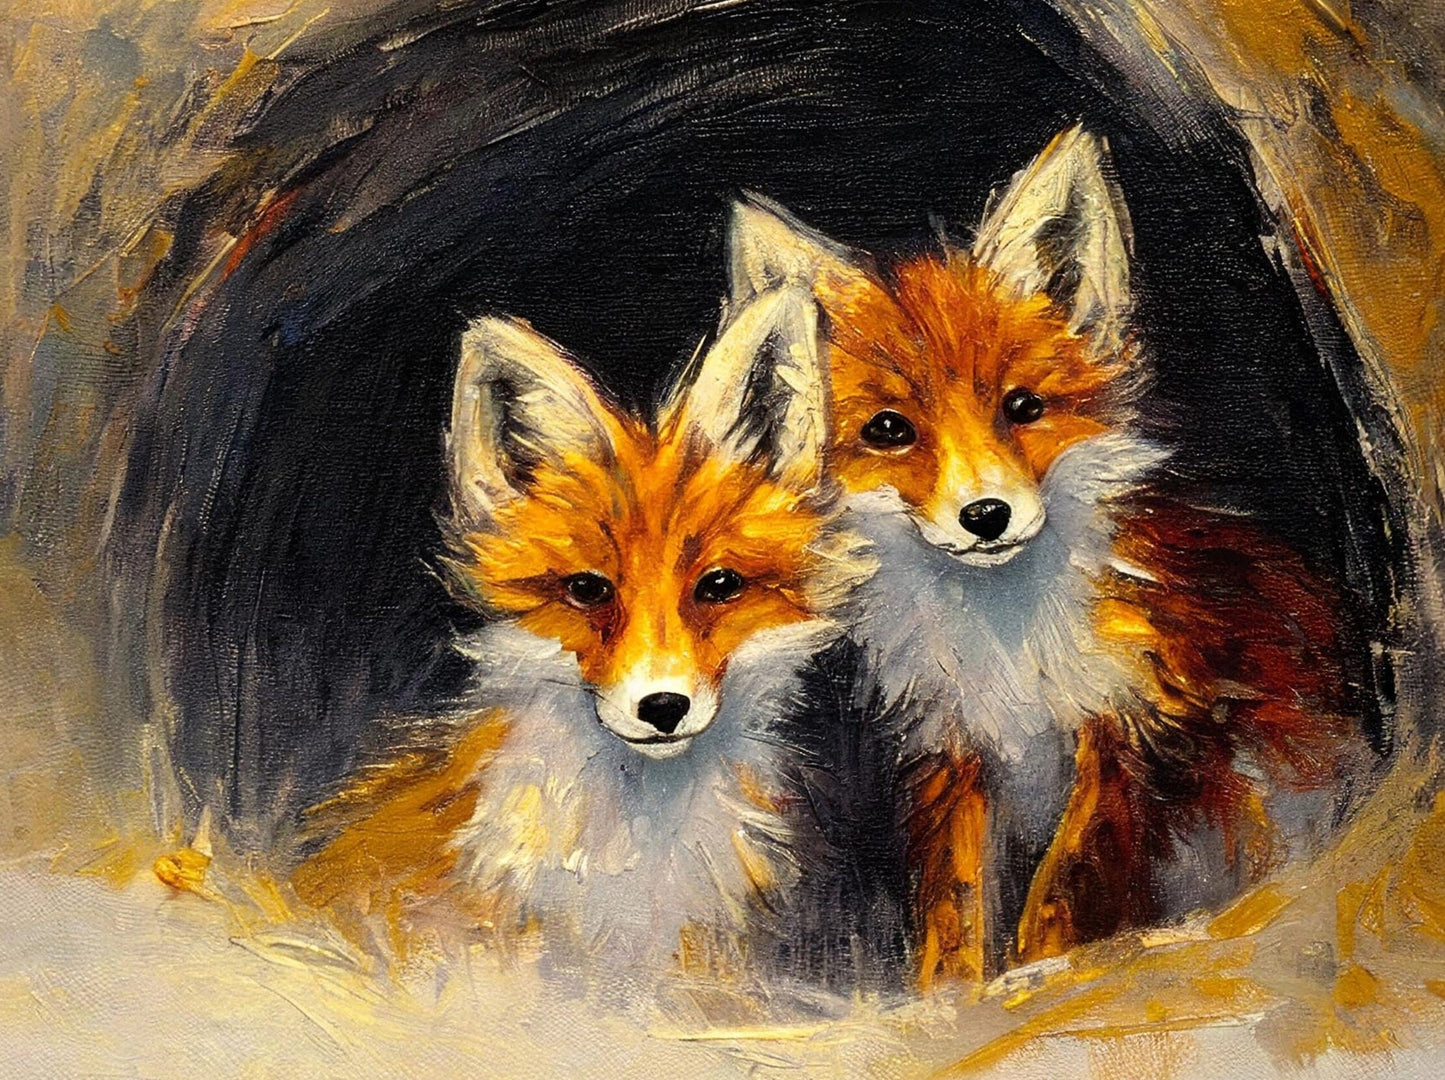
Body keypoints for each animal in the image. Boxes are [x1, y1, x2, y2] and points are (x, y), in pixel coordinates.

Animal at [722, 126, 1373, 988]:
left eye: (1022, 407)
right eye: (889, 430)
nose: (985, 516)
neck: (1010, 645)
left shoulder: (1132, 729)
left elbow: (1065, 886)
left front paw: (1042, 974)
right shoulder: (957, 751)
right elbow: (957, 904)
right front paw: (950, 996)